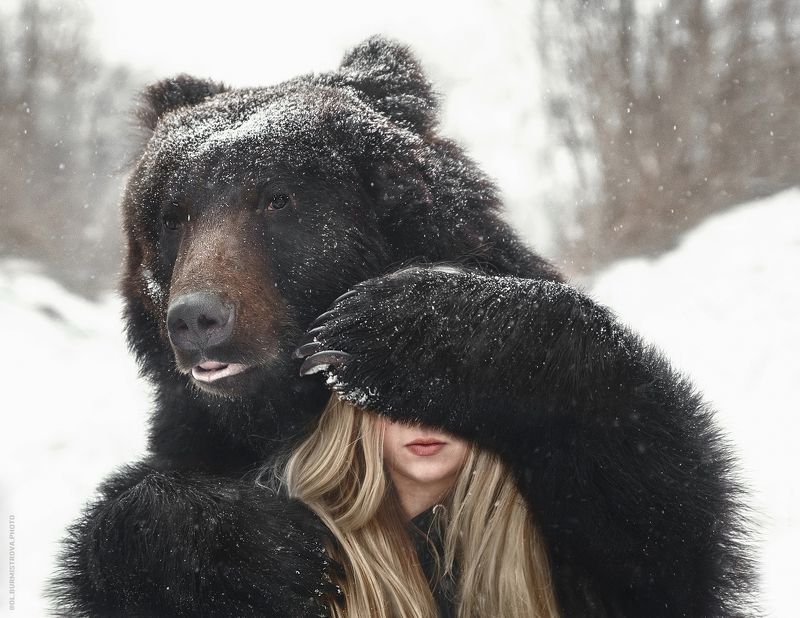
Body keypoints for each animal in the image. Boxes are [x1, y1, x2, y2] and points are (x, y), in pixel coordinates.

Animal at [49, 36, 754, 617]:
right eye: (174, 215)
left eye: (277, 198)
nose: (198, 318)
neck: (284, 411)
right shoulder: (198, 439)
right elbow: (141, 529)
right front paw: (259, 551)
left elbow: (664, 525)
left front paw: (391, 335)